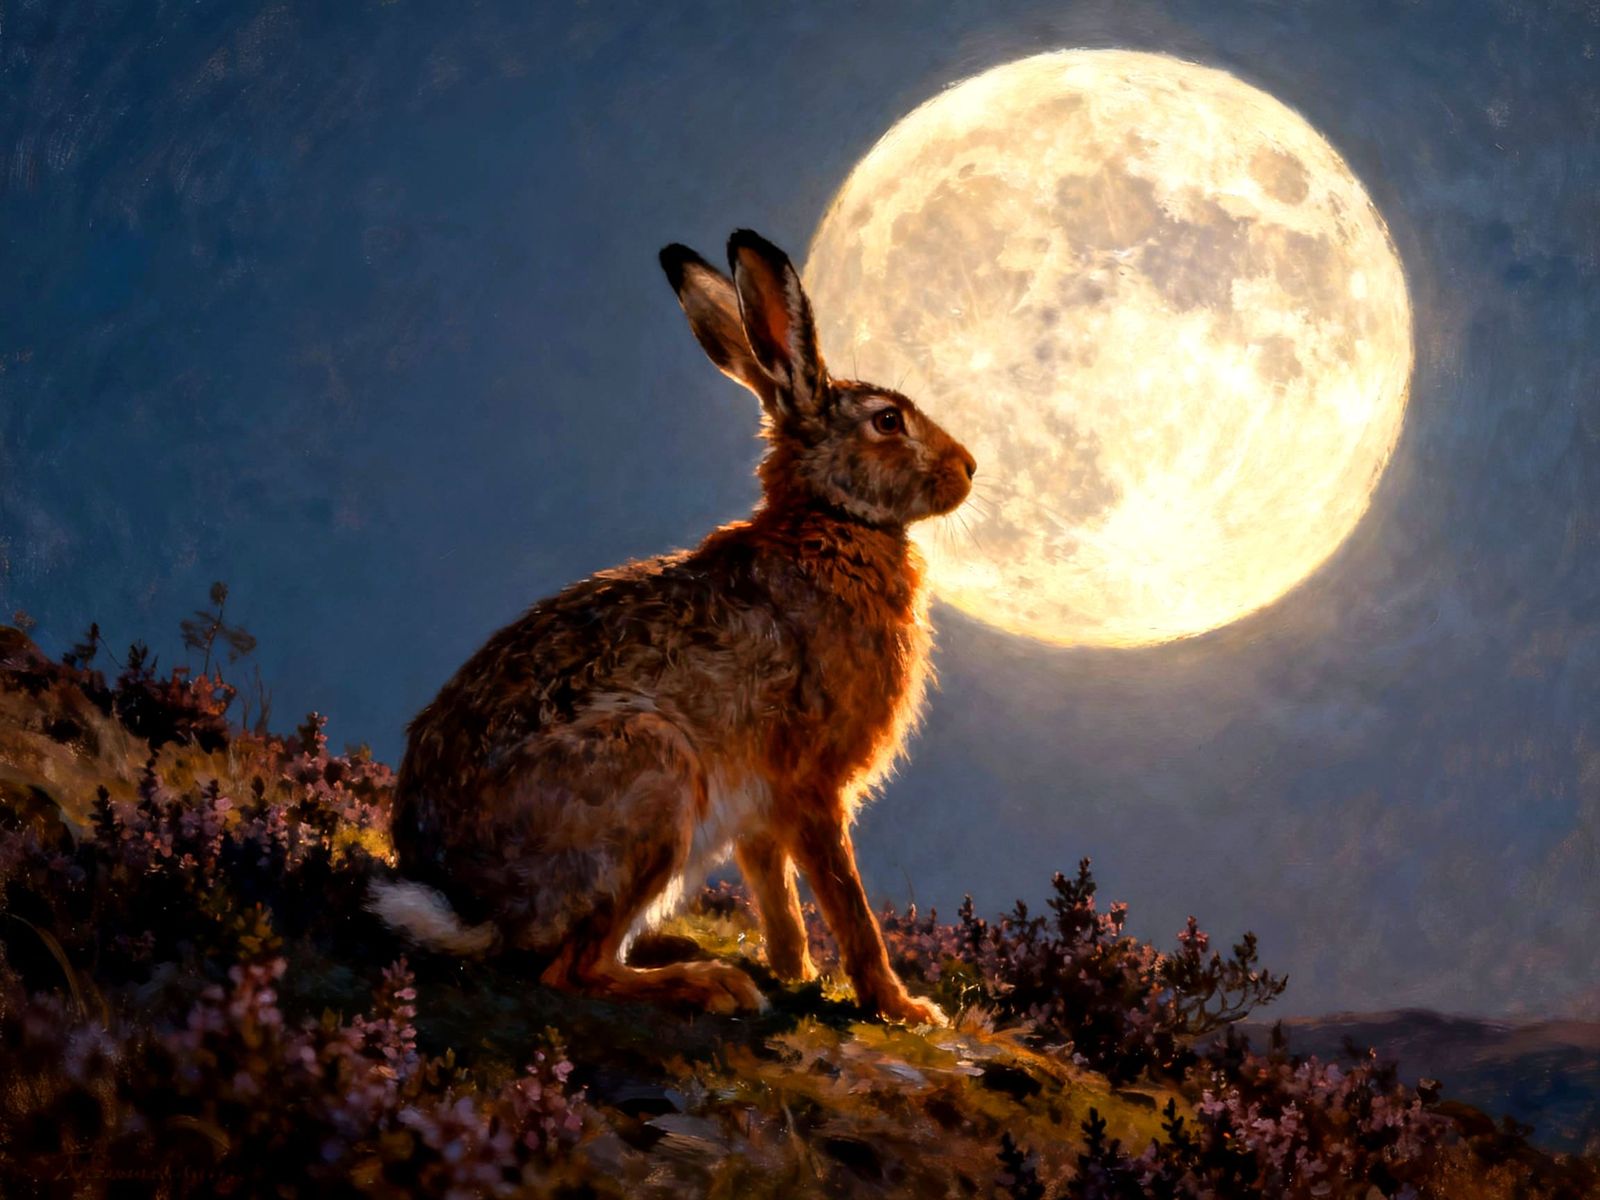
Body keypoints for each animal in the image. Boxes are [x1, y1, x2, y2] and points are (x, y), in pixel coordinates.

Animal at [371, 229, 976, 1024]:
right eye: (887, 421)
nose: (970, 468)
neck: (829, 524)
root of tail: (467, 901)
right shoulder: (812, 786)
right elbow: (848, 902)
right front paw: (902, 1007)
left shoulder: (760, 806)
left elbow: (775, 893)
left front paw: (797, 971)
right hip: (654, 775)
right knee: (572, 970)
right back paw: (708, 985)